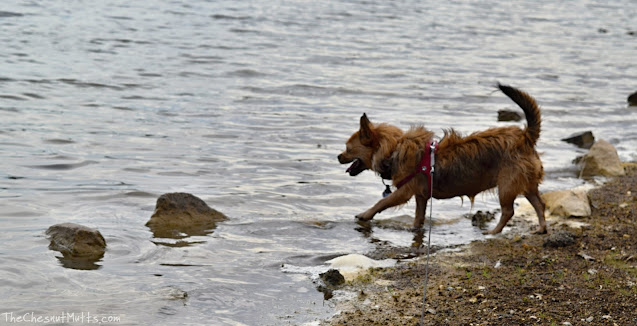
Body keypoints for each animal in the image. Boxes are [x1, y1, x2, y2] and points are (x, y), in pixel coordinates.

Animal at [338, 84, 548, 234]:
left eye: (348, 149)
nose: (338, 156)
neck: (393, 150)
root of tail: (525, 137)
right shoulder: (421, 196)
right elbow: (419, 216)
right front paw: (416, 229)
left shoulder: (404, 191)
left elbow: (381, 202)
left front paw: (365, 215)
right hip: (527, 184)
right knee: (539, 204)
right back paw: (541, 228)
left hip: (506, 186)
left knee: (508, 211)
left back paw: (494, 231)